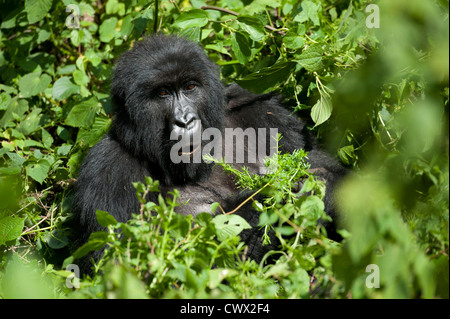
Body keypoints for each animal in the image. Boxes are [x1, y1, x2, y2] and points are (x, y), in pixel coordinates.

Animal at [72, 35, 344, 276]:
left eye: (190, 87)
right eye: (162, 93)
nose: (185, 120)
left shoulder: (258, 107)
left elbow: (323, 164)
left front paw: (317, 184)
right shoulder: (107, 168)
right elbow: (123, 263)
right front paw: (265, 200)